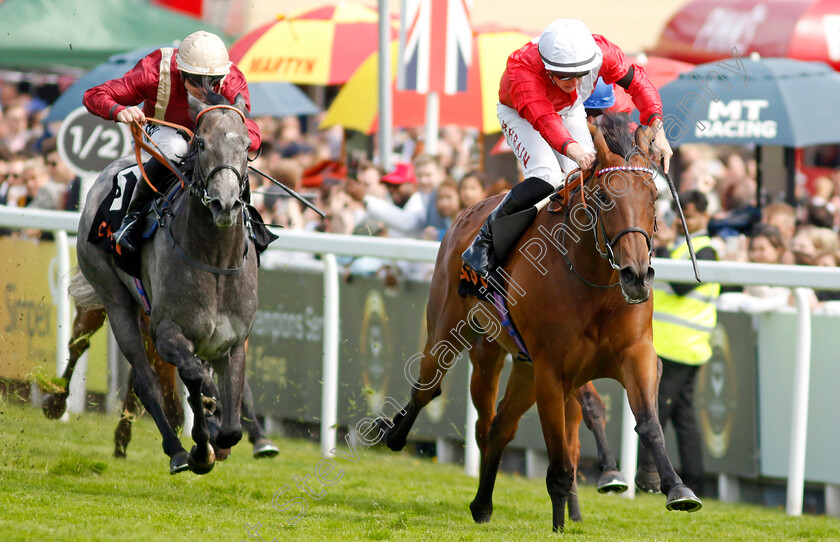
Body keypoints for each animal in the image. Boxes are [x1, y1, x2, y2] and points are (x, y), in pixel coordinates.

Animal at [72, 92, 256, 476]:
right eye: (201, 144)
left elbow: (232, 429)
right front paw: (201, 445)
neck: (215, 261)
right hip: (116, 300)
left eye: (248, 146)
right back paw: (176, 450)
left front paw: (217, 433)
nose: (226, 203)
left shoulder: (234, 343)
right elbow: (195, 378)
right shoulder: (166, 331)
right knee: (146, 380)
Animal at [384, 112, 700, 532]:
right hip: (456, 335)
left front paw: (675, 488)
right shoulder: (553, 373)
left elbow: (648, 423)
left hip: (523, 366)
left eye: (654, 197)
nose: (636, 275)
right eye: (604, 198)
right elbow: (560, 461)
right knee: (434, 391)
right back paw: (395, 436)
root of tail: (467, 213)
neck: (594, 284)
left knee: (500, 425)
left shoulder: (636, 354)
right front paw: (562, 522)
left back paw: (482, 504)